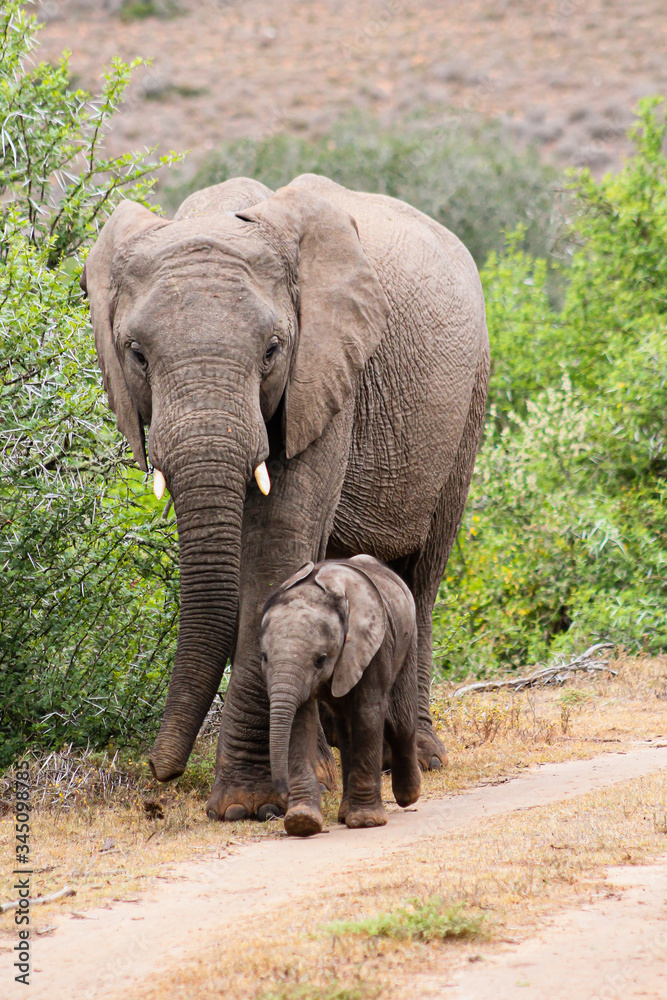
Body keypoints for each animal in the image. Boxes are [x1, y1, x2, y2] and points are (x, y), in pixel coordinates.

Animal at [260, 555, 422, 836]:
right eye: (264, 658)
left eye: (320, 660)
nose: (282, 794)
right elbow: (299, 721)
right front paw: (302, 821)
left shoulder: (373, 645)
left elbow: (368, 711)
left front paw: (367, 822)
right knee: (346, 731)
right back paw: (345, 813)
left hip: (407, 637)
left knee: (400, 723)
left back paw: (408, 796)